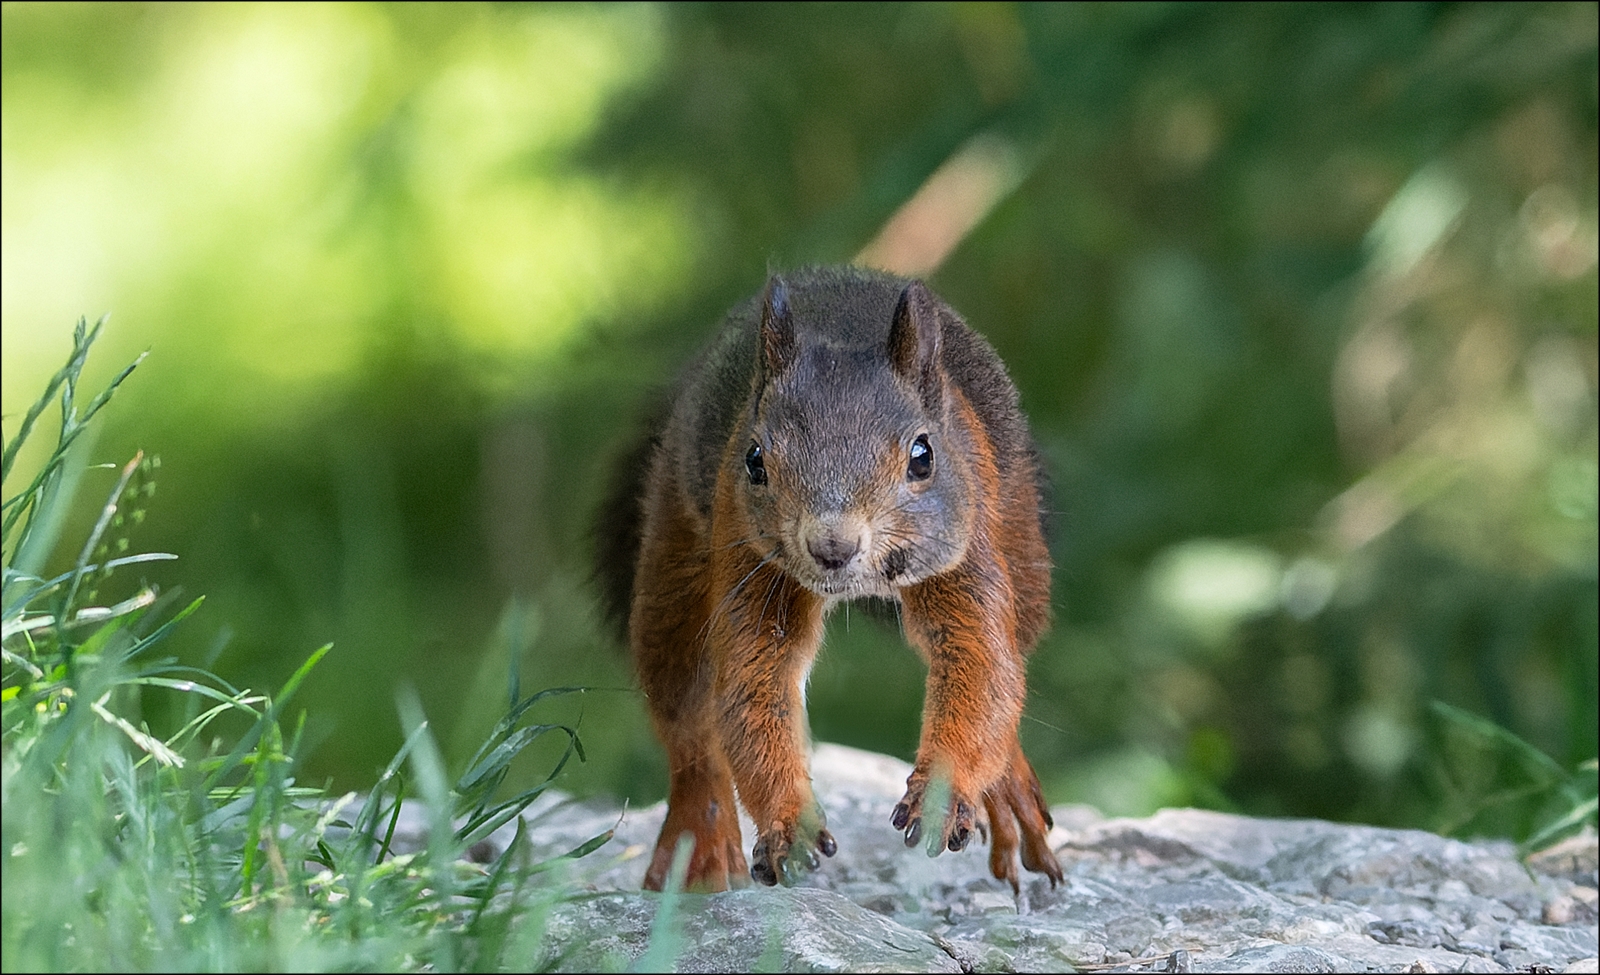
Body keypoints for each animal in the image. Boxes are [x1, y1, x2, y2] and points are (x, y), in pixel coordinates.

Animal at [588, 264, 1062, 890]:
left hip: (1020, 541)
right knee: (688, 721)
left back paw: (1009, 792)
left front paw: (943, 796)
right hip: (674, 550)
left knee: (1013, 661)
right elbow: (755, 681)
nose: (831, 546)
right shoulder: (751, 561)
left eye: (923, 455)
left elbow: (980, 662)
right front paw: (789, 823)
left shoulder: (964, 549)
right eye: (755, 460)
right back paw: (701, 843)